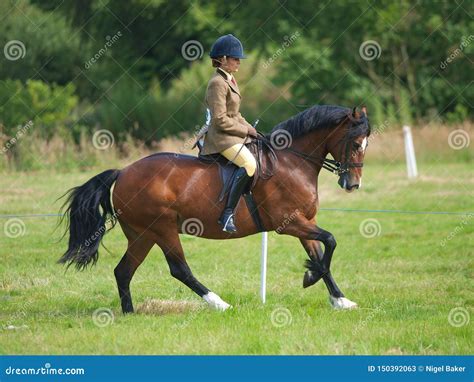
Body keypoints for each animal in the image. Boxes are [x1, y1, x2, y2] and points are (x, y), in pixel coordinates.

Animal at [58, 103, 370, 314]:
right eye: (356, 143)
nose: (353, 184)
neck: (292, 161)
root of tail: (123, 172)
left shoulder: (306, 221)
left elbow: (322, 254)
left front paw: (339, 298)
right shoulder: (289, 223)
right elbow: (330, 240)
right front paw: (310, 277)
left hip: (142, 234)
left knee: (123, 271)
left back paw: (129, 313)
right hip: (162, 228)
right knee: (179, 269)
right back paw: (219, 303)